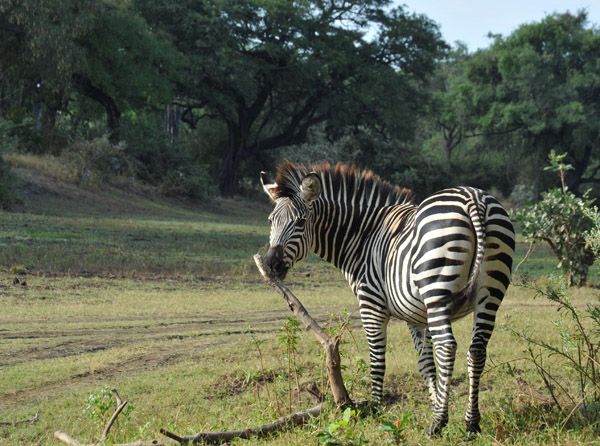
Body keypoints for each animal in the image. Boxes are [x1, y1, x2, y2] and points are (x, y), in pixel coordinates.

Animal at [260, 161, 512, 436]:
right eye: (271, 220)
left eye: (301, 222)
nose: (271, 265)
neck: (362, 237)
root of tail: (473, 198)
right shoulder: (416, 316)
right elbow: (426, 364)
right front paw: (435, 403)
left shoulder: (371, 305)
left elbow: (377, 361)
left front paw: (376, 411)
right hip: (490, 290)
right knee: (476, 349)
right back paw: (471, 423)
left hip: (437, 289)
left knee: (447, 346)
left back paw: (437, 424)